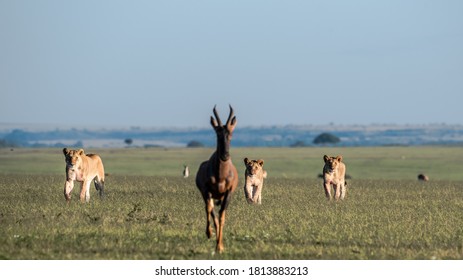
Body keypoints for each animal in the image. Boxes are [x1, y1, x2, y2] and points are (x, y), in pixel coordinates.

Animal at [196, 105, 239, 254]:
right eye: (217, 133)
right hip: (207, 195)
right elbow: (210, 210)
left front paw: (220, 247)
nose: (225, 155)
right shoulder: (206, 191)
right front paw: (209, 234)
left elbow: (222, 216)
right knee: (210, 210)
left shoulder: (228, 193)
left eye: (231, 133)